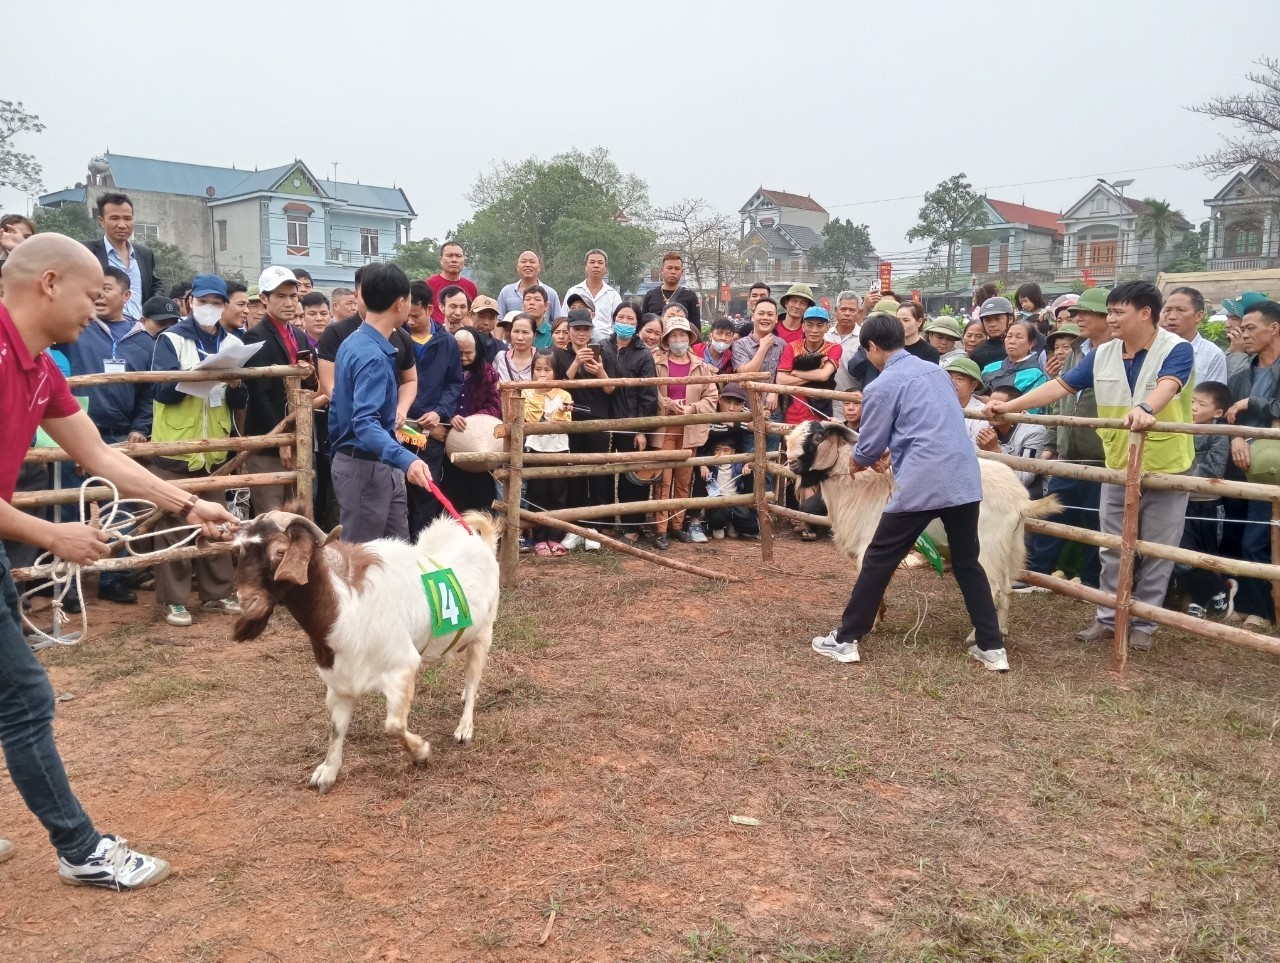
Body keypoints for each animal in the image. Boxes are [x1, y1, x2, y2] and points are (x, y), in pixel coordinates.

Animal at [230, 499, 499, 793]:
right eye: (239, 551)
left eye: (280, 551)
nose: (246, 601)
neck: (347, 611)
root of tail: (481, 541)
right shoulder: (338, 683)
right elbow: (336, 728)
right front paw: (327, 771)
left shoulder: (401, 669)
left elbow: (393, 725)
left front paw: (421, 753)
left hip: (484, 633)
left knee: (473, 681)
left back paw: (464, 727)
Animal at [788, 420, 1059, 640]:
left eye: (818, 436)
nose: (790, 462)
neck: (857, 482)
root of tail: (1021, 501)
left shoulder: (870, 542)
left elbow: (870, 578)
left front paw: (871, 623)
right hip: (1003, 548)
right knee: (1006, 590)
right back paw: (1001, 631)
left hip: (986, 546)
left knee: (993, 589)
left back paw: (975, 637)